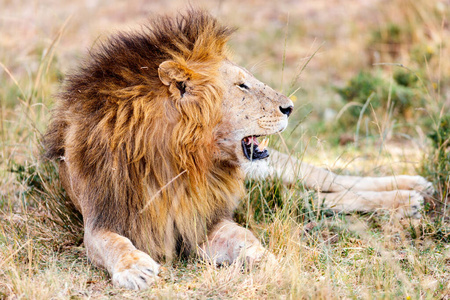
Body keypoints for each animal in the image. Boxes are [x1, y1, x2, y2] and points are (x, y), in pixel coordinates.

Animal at [44, 10, 432, 290]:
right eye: (242, 85)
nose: (290, 107)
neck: (180, 162)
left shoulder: (205, 218)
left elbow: (245, 238)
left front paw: (270, 261)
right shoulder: (101, 220)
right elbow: (113, 243)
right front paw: (135, 268)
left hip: (278, 171)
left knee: (334, 181)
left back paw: (410, 190)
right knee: (315, 200)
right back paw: (410, 197)